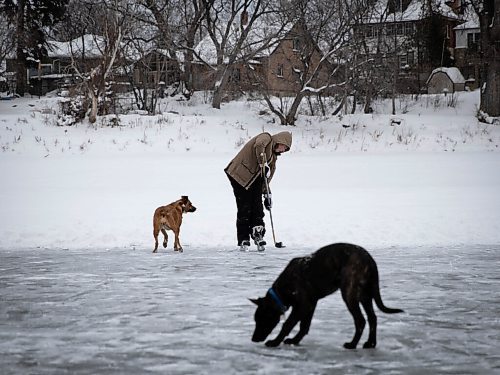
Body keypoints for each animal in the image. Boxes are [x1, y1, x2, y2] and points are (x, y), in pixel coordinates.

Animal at [250, 244, 402, 350]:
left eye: (262, 319)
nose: (253, 339)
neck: (282, 289)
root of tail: (370, 260)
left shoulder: (302, 305)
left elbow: (288, 324)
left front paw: (275, 342)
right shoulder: (310, 304)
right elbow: (304, 326)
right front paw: (295, 341)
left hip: (349, 294)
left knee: (360, 321)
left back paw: (352, 344)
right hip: (365, 295)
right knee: (372, 318)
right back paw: (370, 343)